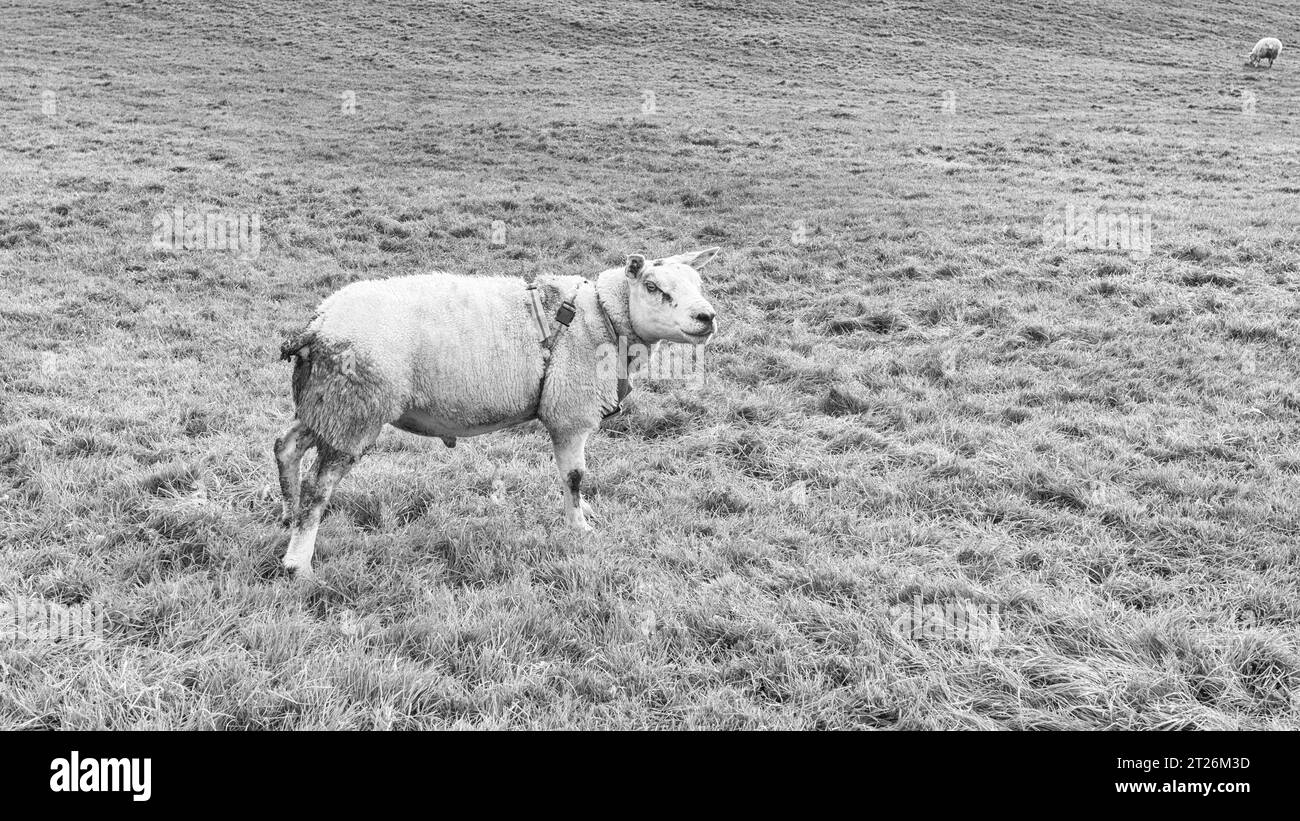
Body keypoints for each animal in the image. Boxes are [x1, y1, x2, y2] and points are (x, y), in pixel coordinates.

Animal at [273, 248, 722, 576]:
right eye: (653, 286)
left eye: (698, 283)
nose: (707, 317)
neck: (602, 318)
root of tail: (318, 324)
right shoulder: (569, 414)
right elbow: (574, 476)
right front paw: (578, 526)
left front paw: (585, 511)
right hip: (354, 409)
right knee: (318, 485)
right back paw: (298, 561)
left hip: (324, 404)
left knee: (285, 446)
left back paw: (288, 513)